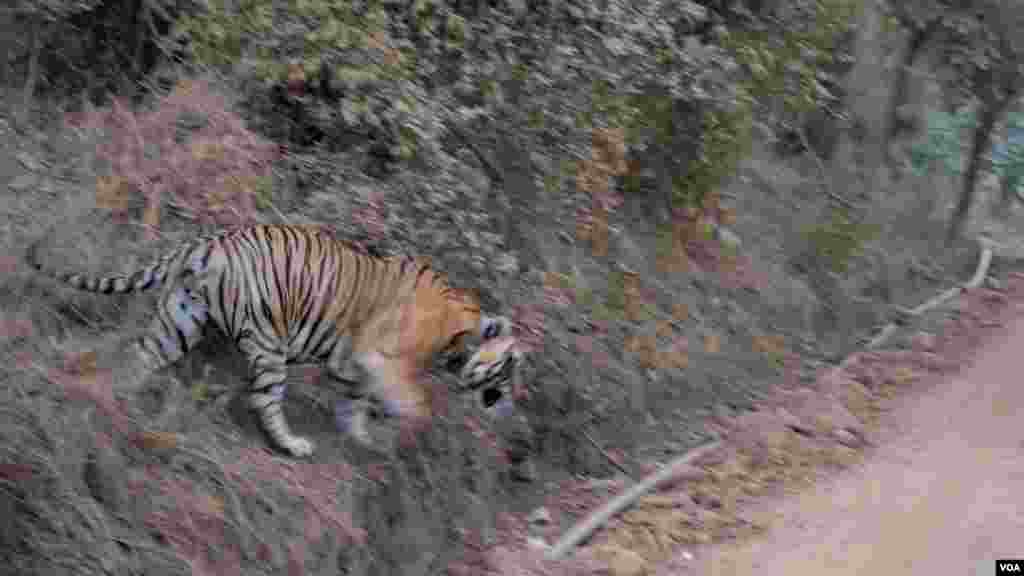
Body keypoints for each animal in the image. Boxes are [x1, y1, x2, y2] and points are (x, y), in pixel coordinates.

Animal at [27, 223, 522, 457]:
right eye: (512, 366)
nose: (512, 403)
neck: (458, 336)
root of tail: (209, 241)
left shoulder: (351, 364)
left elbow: (354, 402)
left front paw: (361, 437)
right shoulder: (382, 359)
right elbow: (414, 403)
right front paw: (402, 429)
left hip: (180, 320)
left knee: (141, 356)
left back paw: (114, 399)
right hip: (268, 340)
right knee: (263, 399)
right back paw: (292, 445)